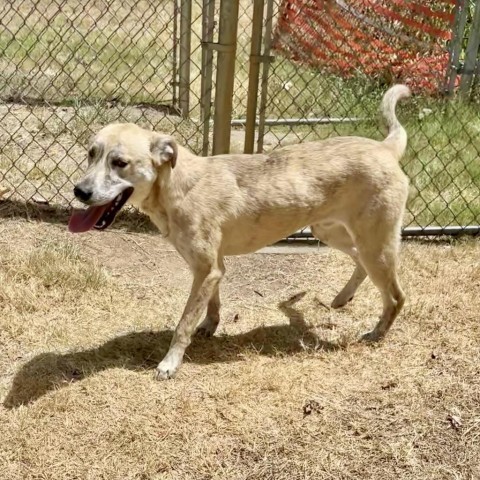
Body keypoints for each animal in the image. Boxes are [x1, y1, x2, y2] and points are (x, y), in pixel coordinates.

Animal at [69, 84, 410, 380]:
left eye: (120, 162)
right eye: (91, 153)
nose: (79, 191)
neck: (178, 187)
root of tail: (385, 147)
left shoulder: (206, 269)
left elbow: (184, 323)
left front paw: (170, 363)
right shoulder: (212, 267)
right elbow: (211, 304)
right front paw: (210, 326)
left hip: (374, 244)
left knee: (395, 296)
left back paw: (377, 333)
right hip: (332, 232)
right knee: (359, 261)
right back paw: (343, 298)